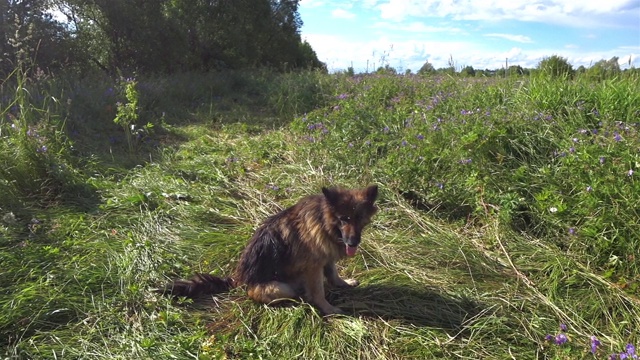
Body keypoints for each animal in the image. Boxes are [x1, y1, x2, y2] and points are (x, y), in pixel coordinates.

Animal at [160, 186, 378, 316]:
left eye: (359, 218)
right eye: (343, 219)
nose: (353, 242)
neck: (324, 222)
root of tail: (238, 280)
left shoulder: (326, 257)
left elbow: (333, 275)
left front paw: (345, 284)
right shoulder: (313, 267)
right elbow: (318, 292)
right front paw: (329, 310)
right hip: (281, 287)